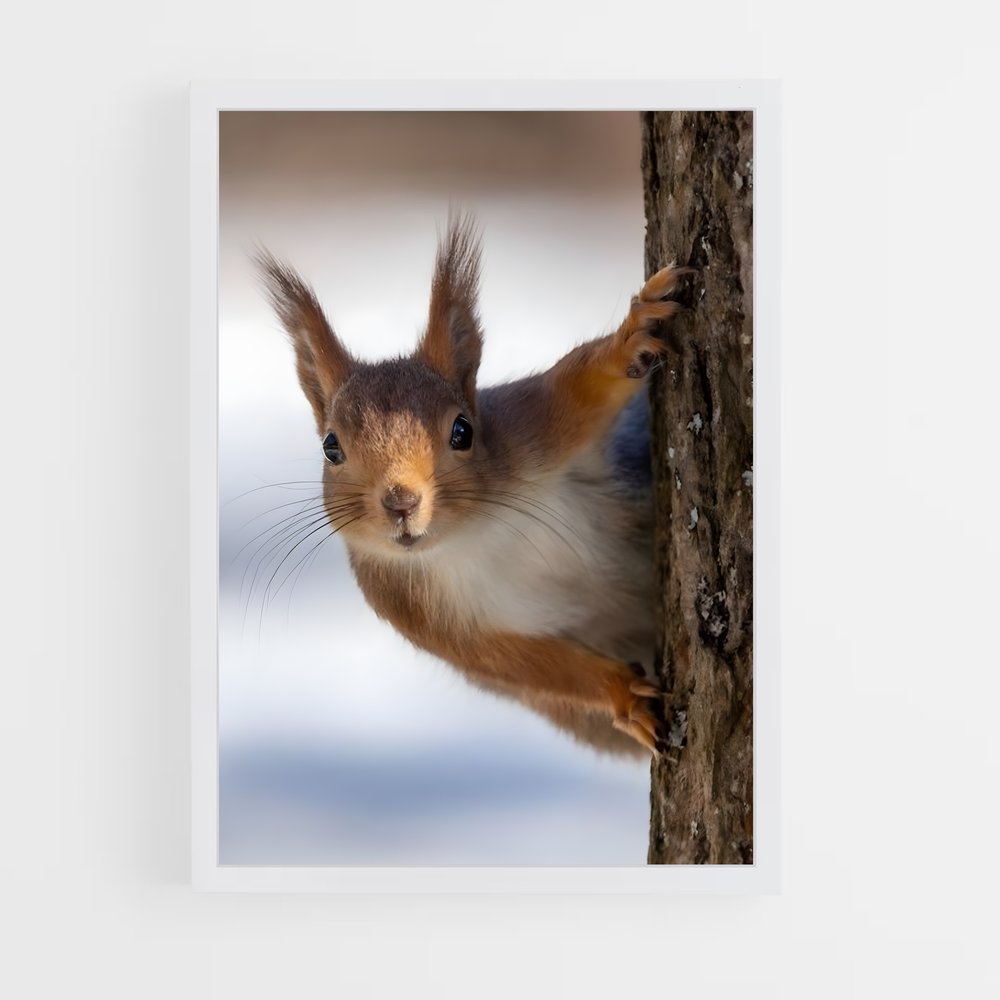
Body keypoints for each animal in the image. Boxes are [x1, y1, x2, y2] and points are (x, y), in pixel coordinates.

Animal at [255, 215, 687, 758]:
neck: (471, 536)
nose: (401, 501)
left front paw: (633, 337)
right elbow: (535, 668)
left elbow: (577, 391)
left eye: (463, 431)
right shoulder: (429, 621)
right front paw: (626, 697)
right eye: (331, 447)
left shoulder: (533, 430)